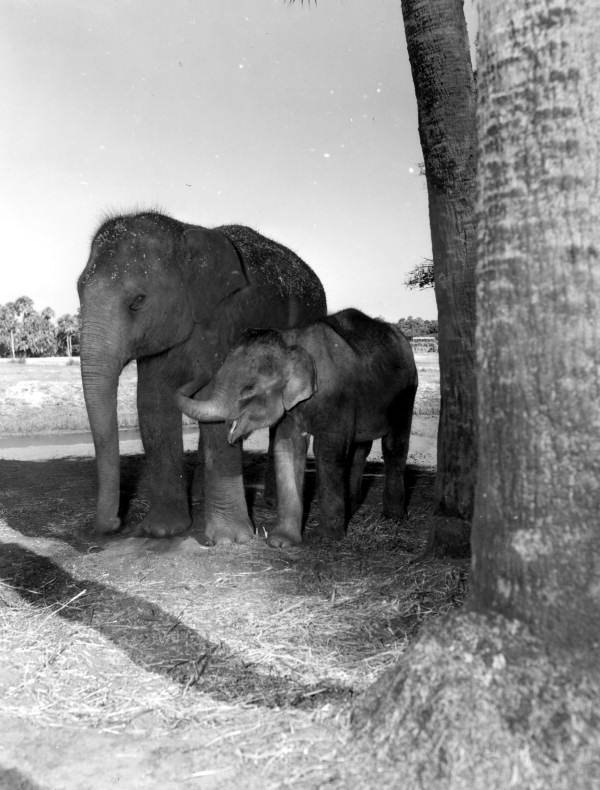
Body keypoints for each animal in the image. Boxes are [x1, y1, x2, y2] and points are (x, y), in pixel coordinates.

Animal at [77, 211, 327, 543]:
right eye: (78, 291)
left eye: (137, 301)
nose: (116, 522)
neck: (184, 232)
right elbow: (153, 403)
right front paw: (162, 531)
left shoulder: (228, 321)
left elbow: (218, 405)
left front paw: (229, 540)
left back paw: (271, 503)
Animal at [175, 308, 418, 547]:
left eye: (249, 389)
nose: (198, 371)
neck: (292, 340)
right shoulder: (290, 407)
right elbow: (288, 448)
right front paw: (280, 542)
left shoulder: (338, 398)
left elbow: (327, 452)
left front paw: (327, 538)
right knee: (360, 449)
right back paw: (354, 505)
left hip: (406, 392)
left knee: (393, 445)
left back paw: (393, 517)